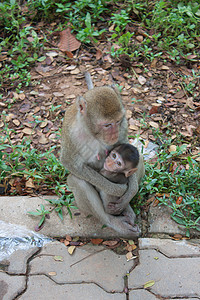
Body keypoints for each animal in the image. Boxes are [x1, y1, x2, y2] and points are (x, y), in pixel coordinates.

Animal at [60, 72, 145, 237]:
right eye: (107, 125)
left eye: (117, 121)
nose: (114, 134)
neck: (92, 132)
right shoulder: (72, 135)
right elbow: (70, 164)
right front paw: (117, 190)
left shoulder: (124, 125)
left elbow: (128, 147)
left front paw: (130, 193)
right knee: (78, 181)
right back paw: (112, 221)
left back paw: (128, 210)